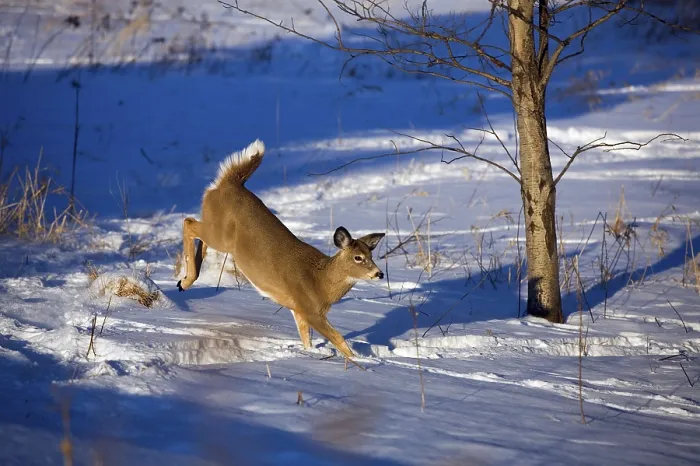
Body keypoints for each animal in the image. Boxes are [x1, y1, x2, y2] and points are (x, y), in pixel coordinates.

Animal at [176, 139, 385, 368]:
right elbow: (338, 338)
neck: (321, 281)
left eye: (371, 255)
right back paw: (185, 280)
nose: (379, 273)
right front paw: (362, 363)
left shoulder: (299, 311)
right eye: (358, 257)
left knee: (198, 234)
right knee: (188, 222)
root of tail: (230, 183)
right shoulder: (309, 309)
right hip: (221, 235)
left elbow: (307, 340)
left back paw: (185, 281)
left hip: (216, 228)